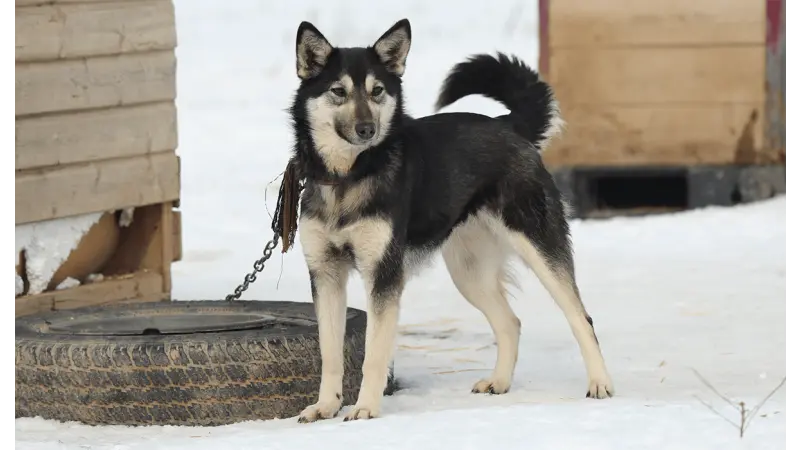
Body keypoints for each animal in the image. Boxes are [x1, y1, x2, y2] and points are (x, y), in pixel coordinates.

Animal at [290, 18, 616, 426]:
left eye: (377, 91)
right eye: (338, 91)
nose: (367, 130)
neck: (348, 176)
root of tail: (509, 126)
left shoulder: (383, 275)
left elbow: (373, 355)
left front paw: (365, 407)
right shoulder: (325, 273)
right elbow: (330, 354)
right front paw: (326, 406)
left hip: (539, 249)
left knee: (581, 317)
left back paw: (600, 383)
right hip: (469, 272)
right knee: (510, 322)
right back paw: (499, 381)